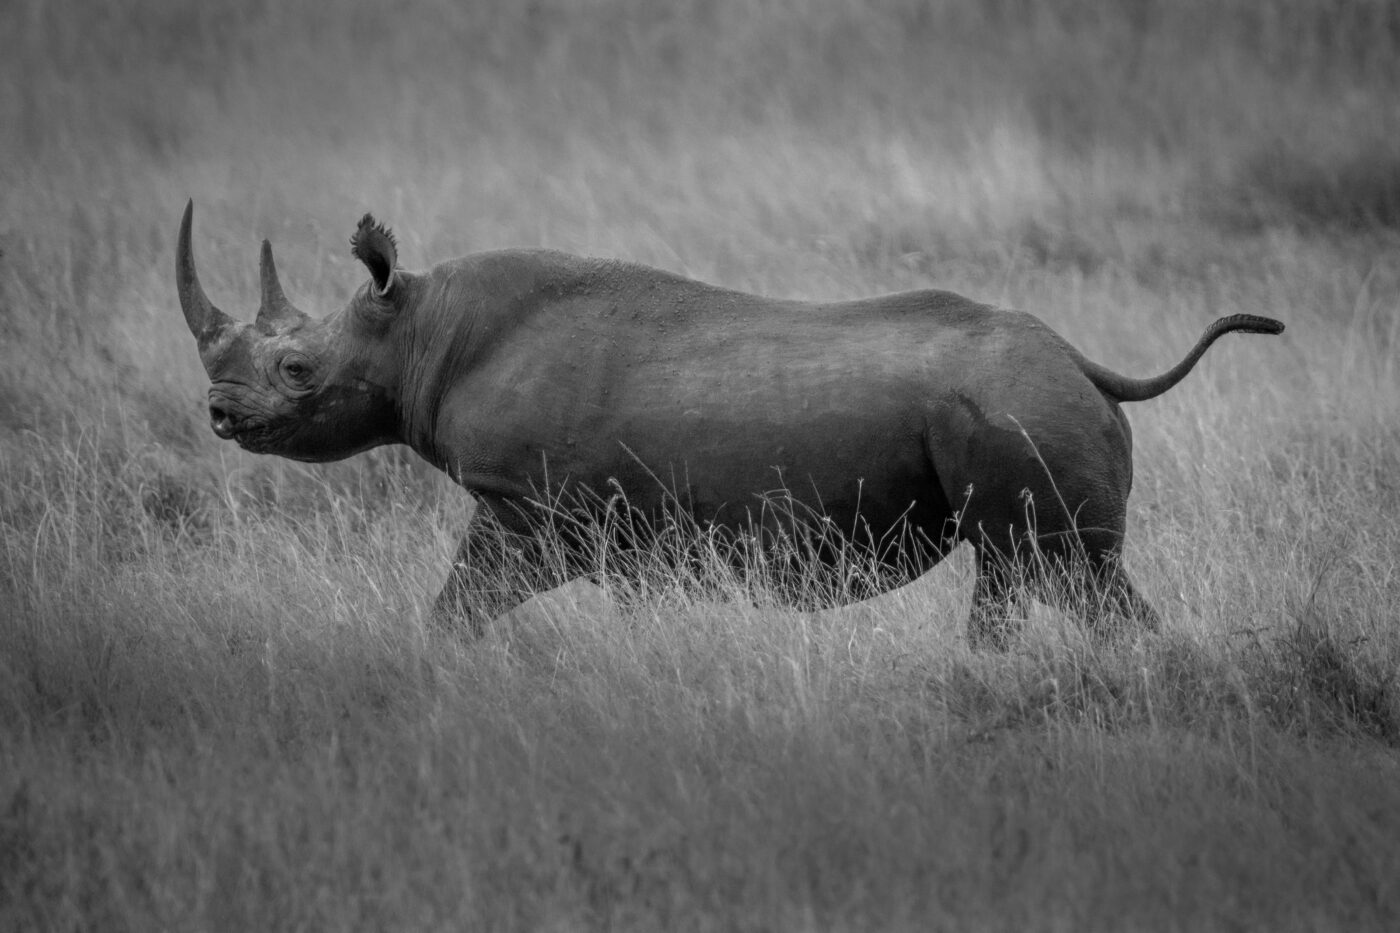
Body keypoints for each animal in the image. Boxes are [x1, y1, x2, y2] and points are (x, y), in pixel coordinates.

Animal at [172, 200, 1282, 644]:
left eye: (297, 369)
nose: (220, 415)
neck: (418, 326)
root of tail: (1088, 364)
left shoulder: (529, 509)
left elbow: (455, 609)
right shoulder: (621, 528)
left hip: (1015, 411)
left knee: (1051, 573)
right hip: (1024, 409)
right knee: (1041, 578)